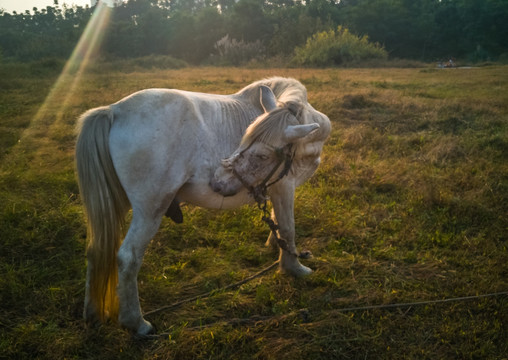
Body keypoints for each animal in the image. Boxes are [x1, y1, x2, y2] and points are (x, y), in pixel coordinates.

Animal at [75, 77, 330, 336]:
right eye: (256, 151)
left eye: (261, 156)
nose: (217, 182)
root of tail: (114, 110)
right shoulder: (284, 186)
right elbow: (288, 228)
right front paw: (294, 268)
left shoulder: (274, 187)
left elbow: (276, 222)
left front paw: (274, 248)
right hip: (150, 211)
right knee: (128, 257)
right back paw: (136, 322)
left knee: (97, 250)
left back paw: (92, 314)